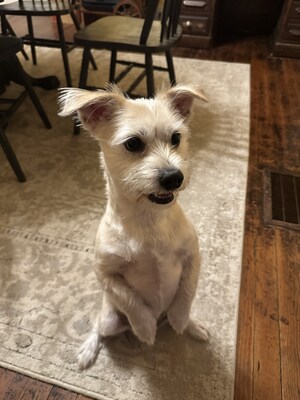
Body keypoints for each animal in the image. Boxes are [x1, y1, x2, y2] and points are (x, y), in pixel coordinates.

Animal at [58, 84, 209, 368]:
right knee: (99, 327)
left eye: (176, 138)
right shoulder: (105, 274)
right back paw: (90, 349)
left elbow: (187, 291)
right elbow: (131, 301)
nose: (174, 177)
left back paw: (191, 326)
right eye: (133, 143)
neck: (149, 219)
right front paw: (145, 329)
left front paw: (181, 319)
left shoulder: (193, 257)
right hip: (109, 318)